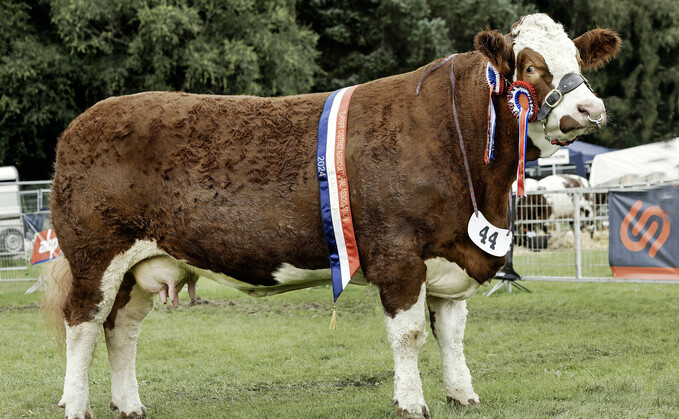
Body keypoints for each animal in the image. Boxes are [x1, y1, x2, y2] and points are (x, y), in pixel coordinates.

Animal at [41, 13, 616, 419]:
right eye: (530, 65)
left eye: (578, 60)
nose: (590, 110)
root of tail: (84, 121)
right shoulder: (399, 255)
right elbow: (410, 335)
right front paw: (412, 402)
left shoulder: (454, 254)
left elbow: (452, 334)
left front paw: (463, 395)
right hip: (96, 254)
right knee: (82, 325)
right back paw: (77, 406)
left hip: (140, 267)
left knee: (121, 330)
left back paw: (129, 404)